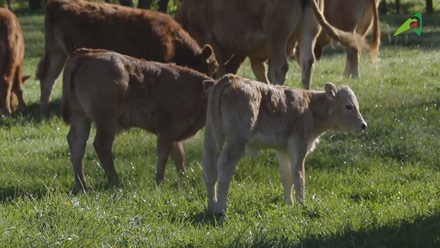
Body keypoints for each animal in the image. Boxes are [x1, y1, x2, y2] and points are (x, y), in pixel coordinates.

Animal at [36, 0, 218, 116]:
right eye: (213, 68)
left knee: (48, 77)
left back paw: (44, 111)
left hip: (57, 52)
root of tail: (58, 3)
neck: (172, 38)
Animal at [60, 49, 215, 190]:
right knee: (101, 145)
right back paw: (115, 180)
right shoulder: (167, 130)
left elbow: (179, 155)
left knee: (77, 143)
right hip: (107, 120)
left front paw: (183, 178)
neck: (195, 92)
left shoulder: (172, 133)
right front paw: (159, 181)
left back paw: (82, 185)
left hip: (81, 116)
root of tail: (88, 54)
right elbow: (164, 154)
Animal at [175, 0, 368, 89]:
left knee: (279, 68)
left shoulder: (213, 44)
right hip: (307, 32)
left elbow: (220, 72)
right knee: (307, 62)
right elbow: (258, 71)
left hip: (277, 35)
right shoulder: (253, 52)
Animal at [203, 74, 368, 216]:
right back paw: (221, 209)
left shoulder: (283, 150)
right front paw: (302, 204)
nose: (363, 125)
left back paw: (212, 206)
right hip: (236, 141)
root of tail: (231, 78)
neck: (310, 107)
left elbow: (287, 176)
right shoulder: (300, 144)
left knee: (210, 167)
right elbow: (299, 174)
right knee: (224, 166)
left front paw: (289, 203)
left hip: (211, 135)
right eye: (348, 106)